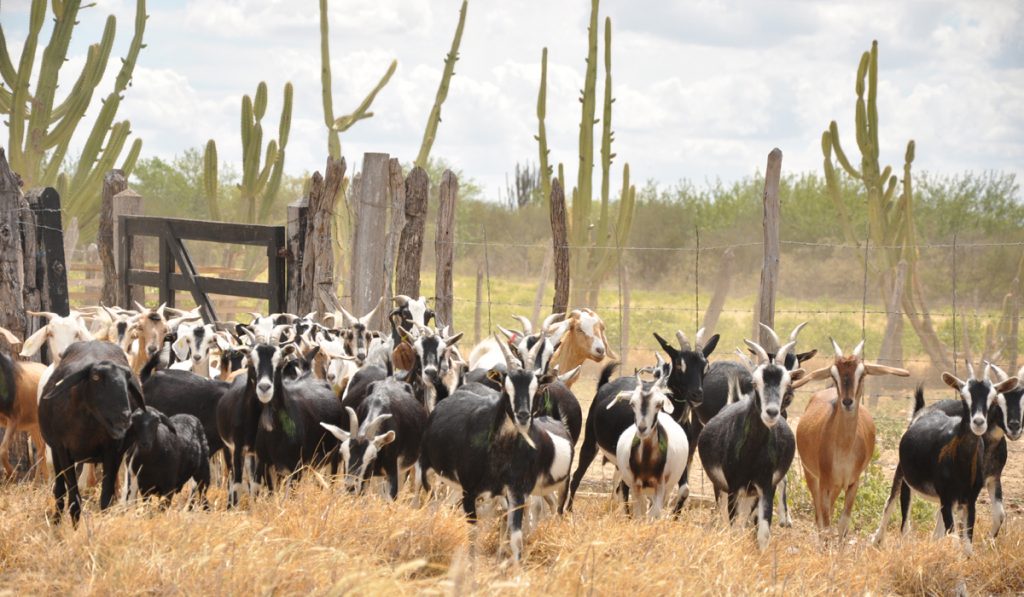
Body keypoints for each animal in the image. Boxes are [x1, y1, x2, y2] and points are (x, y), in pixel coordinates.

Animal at [39, 342, 146, 524]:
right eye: (95, 377)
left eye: (127, 379)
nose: (124, 416)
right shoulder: (63, 450)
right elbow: (73, 499)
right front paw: (73, 527)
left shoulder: (112, 452)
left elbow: (106, 498)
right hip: (54, 450)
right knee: (59, 489)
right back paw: (56, 521)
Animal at [696, 342, 806, 552]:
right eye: (755, 383)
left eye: (787, 384)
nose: (771, 412)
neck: (751, 455)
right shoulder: (733, 486)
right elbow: (734, 529)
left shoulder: (765, 486)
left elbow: (763, 533)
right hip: (725, 488)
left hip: (751, 493)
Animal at [794, 337, 909, 540]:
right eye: (834, 375)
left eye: (862, 374)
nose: (847, 402)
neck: (844, 447)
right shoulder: (824, 482)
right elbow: (825, 525)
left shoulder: (852, 483)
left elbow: (842, 524)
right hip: (812, 477)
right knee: (819, 517)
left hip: (837, 486)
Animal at [868, 364, 1019, 557]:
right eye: (963, 396)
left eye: (992, 398)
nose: (978, 422)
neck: (960, 463)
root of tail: (922, 411)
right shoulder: (947, 498)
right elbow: (953, 539)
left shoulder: (971, 497)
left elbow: (968, 541)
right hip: (904, 476)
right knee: (896, 509)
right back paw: (880, 541)